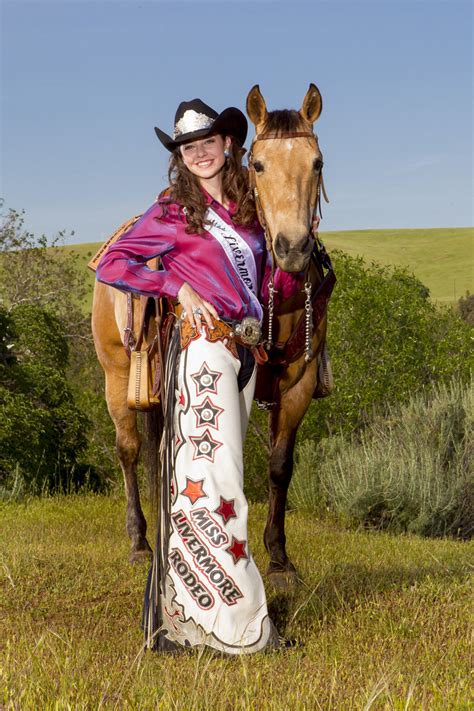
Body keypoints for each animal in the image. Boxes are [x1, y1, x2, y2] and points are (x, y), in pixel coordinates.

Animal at [89, 80, 334, 588]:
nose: (293, 248)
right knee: (129, 450)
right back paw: (140, 543)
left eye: (316, 162)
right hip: (117, 377)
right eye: (258, 164)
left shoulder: (297, 387)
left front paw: (280, 559)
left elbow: (280, 466)